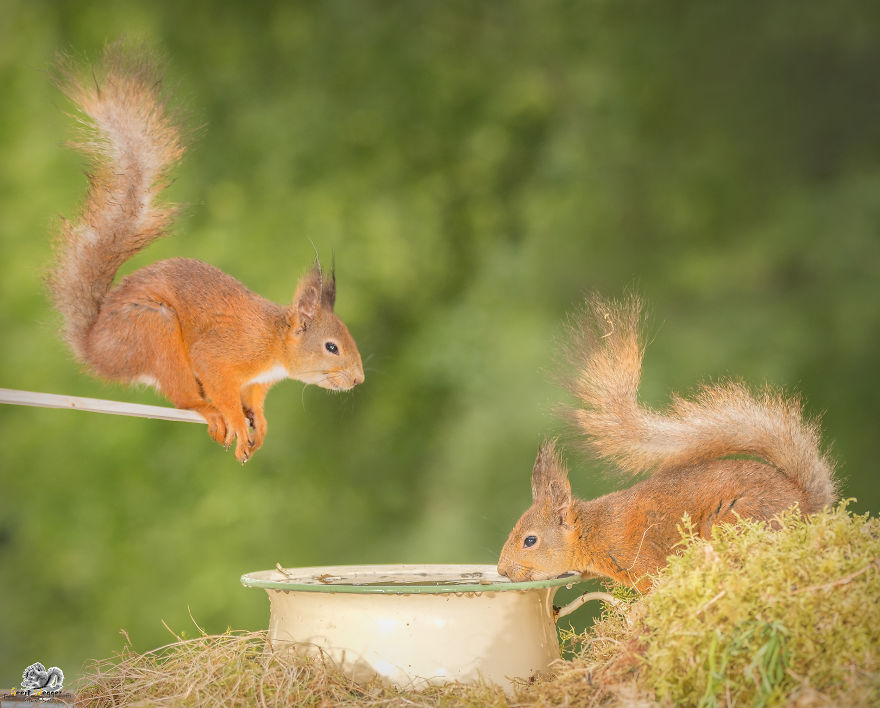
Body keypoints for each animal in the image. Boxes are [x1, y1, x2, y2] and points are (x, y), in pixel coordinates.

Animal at [46, 44, 364, 463]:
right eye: (331, 347)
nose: (358, 378)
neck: (274, 344)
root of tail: (96, 349)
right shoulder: (222, 355)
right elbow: (223, 387)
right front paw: (236, 420)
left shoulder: (255, 383)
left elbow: (253, 400)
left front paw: (258, 422)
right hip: (154, 332)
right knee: (183, 396)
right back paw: (208, 411)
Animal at [497, 294, 836, 590]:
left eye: (530, 540)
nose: (501, 570)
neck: (595, 531)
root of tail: (806, 504)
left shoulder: (643, 560)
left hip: (736, 519)